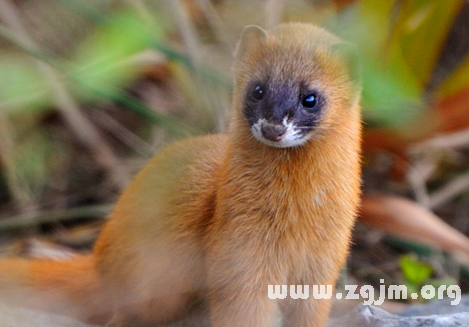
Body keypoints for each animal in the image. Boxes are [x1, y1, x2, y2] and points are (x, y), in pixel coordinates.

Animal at [0, 23, 360, 327]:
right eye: (257, 89)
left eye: (310, 97)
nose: (273, 127)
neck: (297, 222)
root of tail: (100, 257)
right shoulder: (238, 254)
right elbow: (243, 311)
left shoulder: (323, 263)